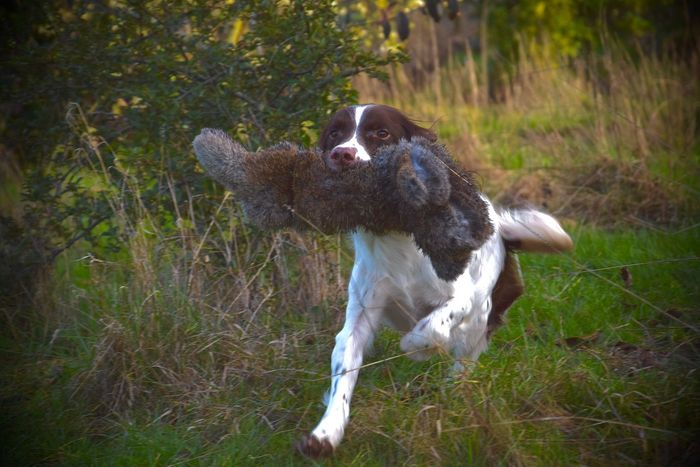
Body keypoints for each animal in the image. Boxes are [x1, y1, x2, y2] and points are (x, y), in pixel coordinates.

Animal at [296, 104, 576, 458]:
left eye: (381, 133)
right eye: (335, 133)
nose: (342, 154)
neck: (395, 237)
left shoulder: (465, 297)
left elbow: (433, 325)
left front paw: (417, 347)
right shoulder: (361, 314)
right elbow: (344, 369)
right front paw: (325, 434)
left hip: (482, 315)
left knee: (465, 357)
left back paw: (453, 390)